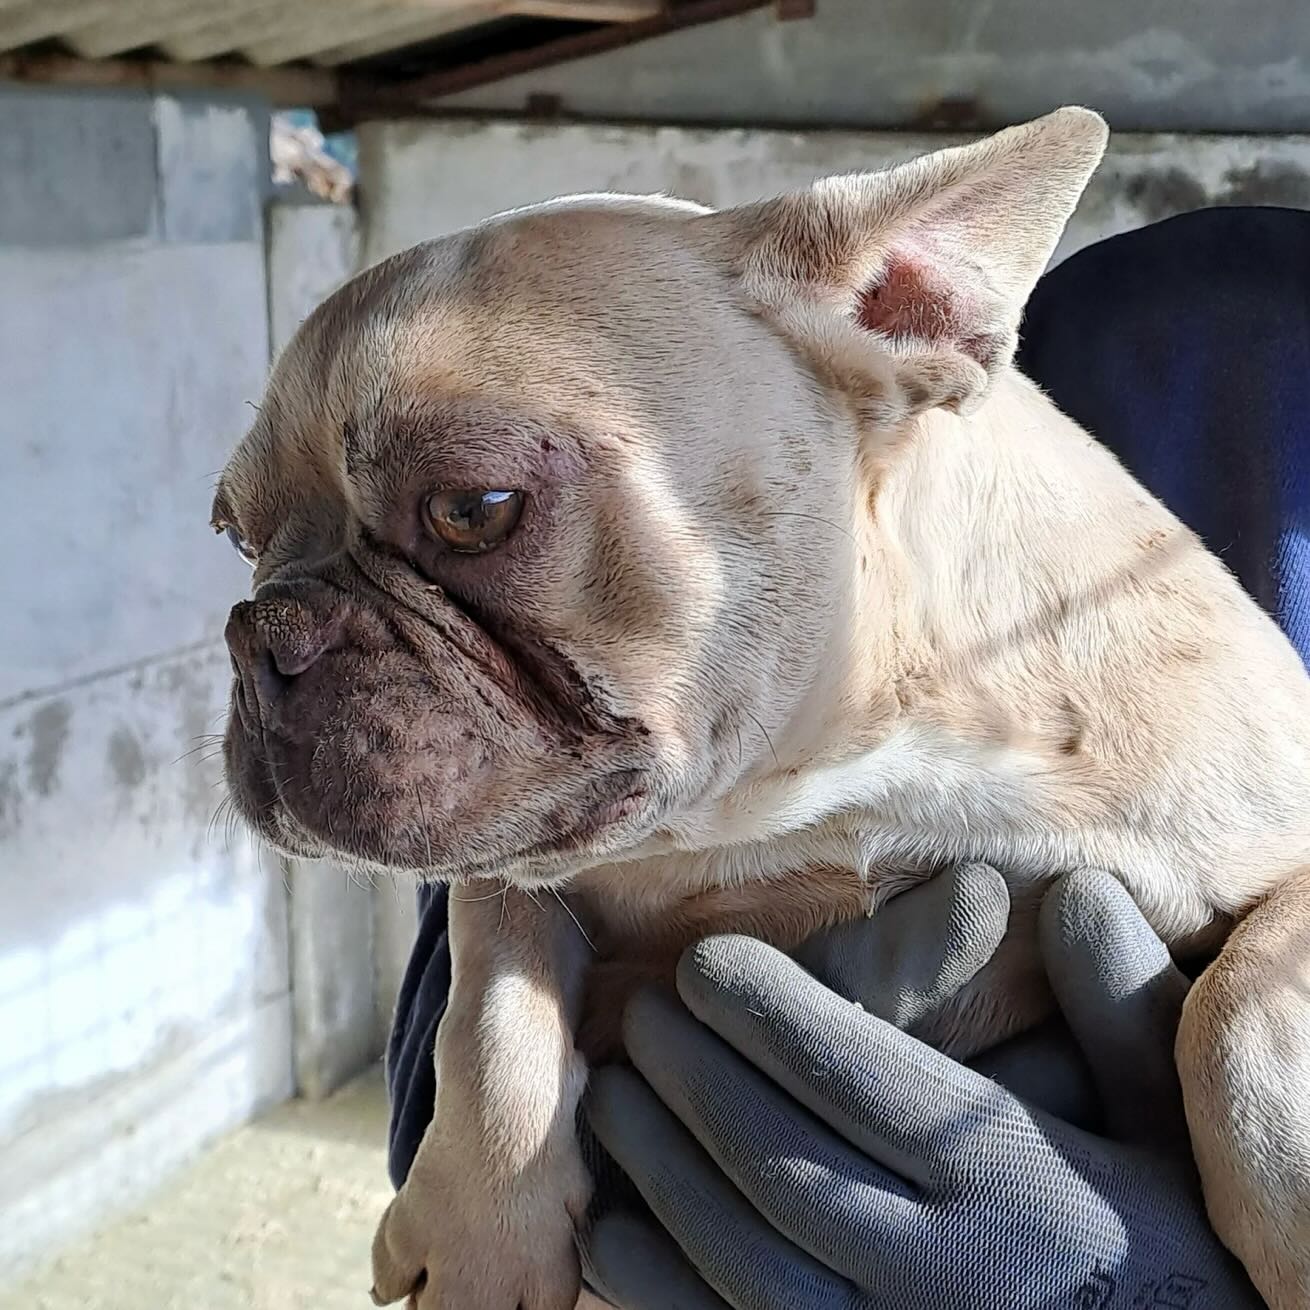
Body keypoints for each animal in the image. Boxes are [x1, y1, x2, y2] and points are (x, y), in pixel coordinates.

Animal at [214, 108, 1310, 1309]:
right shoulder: (512, 853)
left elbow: (1239, 1000)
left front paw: (1287, 1205)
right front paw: (479, 1230)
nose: (263, 631)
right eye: (234, 532)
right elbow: (492, 1000)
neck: (814, 789)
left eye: (473, 509)